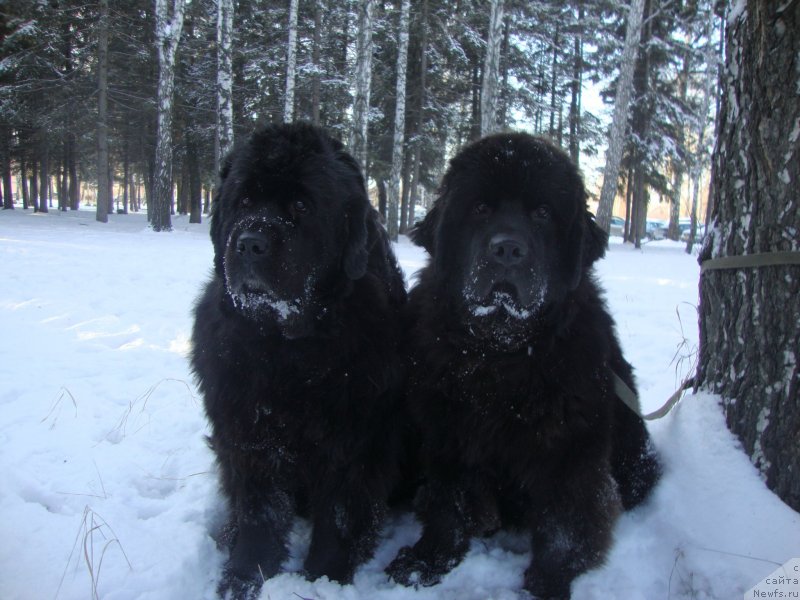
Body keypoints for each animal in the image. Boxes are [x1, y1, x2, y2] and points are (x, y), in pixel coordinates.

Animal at [191, 120, 406, 596]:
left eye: (303, 206)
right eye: (244, 201)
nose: (250, 243)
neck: (287, 351)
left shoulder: (352, 444)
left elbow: (339, 518)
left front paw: (323, 579)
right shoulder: (249, 435)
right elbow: (260, 514)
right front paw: (242, 578)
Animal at [386, 132, 656, 600]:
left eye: (542, 213)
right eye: (480, 208)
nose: (508, 249)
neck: (502, 354)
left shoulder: (570, 449)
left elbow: (564, 525)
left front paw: (547, 583)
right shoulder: (448, 434)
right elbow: (449, 504)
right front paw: (426, 560)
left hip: (635, 459)